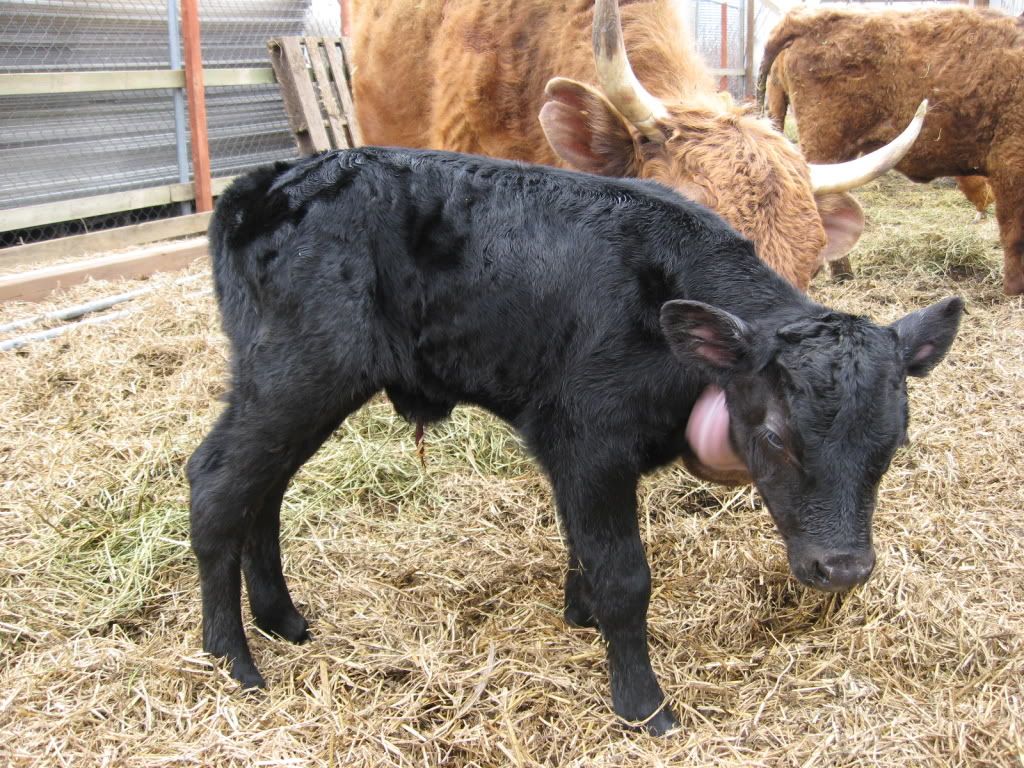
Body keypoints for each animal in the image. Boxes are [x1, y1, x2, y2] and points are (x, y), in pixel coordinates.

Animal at [187, 147, 964, 734]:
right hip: (300, 372)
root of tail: (270, 178)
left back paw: (281, 617)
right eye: (774, 434)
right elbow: (625, 575)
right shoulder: (588, 441)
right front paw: (643, 706)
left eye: (894, 441)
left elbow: (581, 547)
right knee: (216, 483)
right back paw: (232, 658)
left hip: (294, 387)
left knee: (264, 492)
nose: (844, 569)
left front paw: (579, 615)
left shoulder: (577, 456)